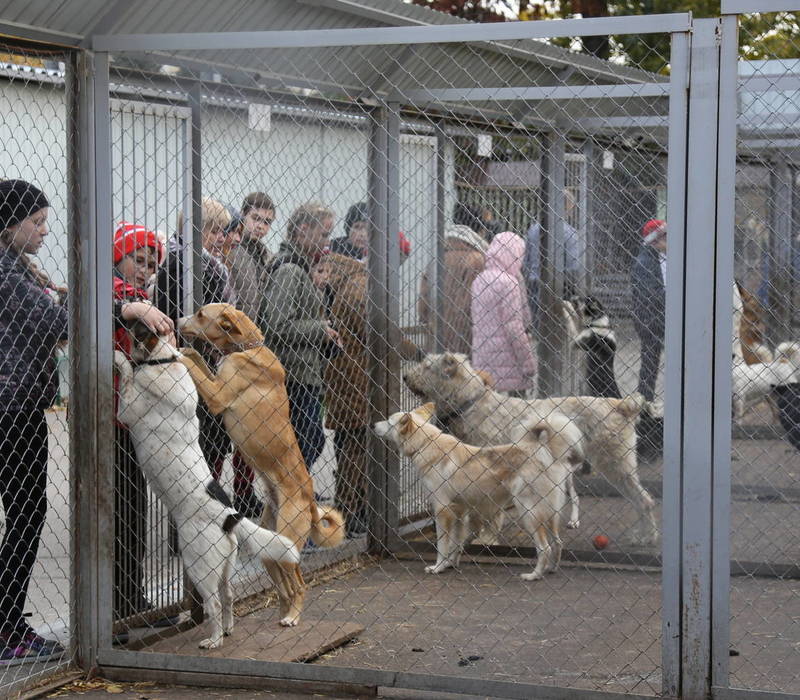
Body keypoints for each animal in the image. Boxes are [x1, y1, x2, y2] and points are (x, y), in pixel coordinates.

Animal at [112, 322, 300, 652]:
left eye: (137, 329)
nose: (124, 317)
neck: (163, 361)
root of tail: (228, 515)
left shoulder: (129, 410)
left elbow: (128, 376)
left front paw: (118, 358)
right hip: (224, 568)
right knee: (228, 597)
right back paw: (227, 630)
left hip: (199, 566)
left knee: (213, 604)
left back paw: (213, 640)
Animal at [178, 304, 344, 628]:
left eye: (201, 314)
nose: (178, 321)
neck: (248, 348)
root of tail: (310, 502)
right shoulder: (217, 380)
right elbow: (200, 361)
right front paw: (187, 350)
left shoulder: (218, 396)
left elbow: (193, 365)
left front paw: (178, 353)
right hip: (270, 550)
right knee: (286, 588)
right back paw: (283, 614)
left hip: (288, 543)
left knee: (299, 585)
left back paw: (292, 618)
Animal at [372, 404, 580, 580]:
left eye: (388, 421)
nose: (373, 425)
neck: (425, 443)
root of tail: (544, 451)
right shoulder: (459, 511)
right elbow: (456, 543)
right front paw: (450, 565)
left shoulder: (442, 510)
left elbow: (442, 545)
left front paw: (437, 567)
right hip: (549, 515)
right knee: (558, 543)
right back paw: (551, 569)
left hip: (529, 514)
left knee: (545, 548)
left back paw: (534, 575)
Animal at [404, 352, 660, 544]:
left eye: (427, 366)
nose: (405, 376)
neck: (472, 404)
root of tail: (620, 404)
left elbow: (489, 514)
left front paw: (486, 539)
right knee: (641, 501)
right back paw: (642, 536)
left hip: (615, 466)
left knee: (645, 501)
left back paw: (648, 538)